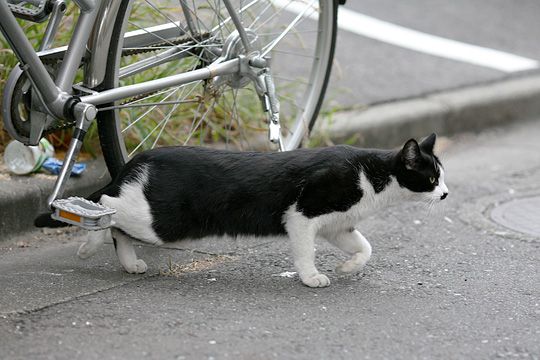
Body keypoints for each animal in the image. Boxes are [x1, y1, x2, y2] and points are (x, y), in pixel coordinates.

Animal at [76, 134, 448, 288]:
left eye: (442, 176)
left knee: (118, 227)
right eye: (431, 178)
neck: (372, 177)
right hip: (164, 221)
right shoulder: (302, 214)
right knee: (107, 205)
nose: (445, 194)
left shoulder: (337, 225)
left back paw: (130, 263)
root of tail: (141, 158)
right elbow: (305, 252)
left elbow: (365, 247)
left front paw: (348, 266)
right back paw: (88, 238)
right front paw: (311, 277)